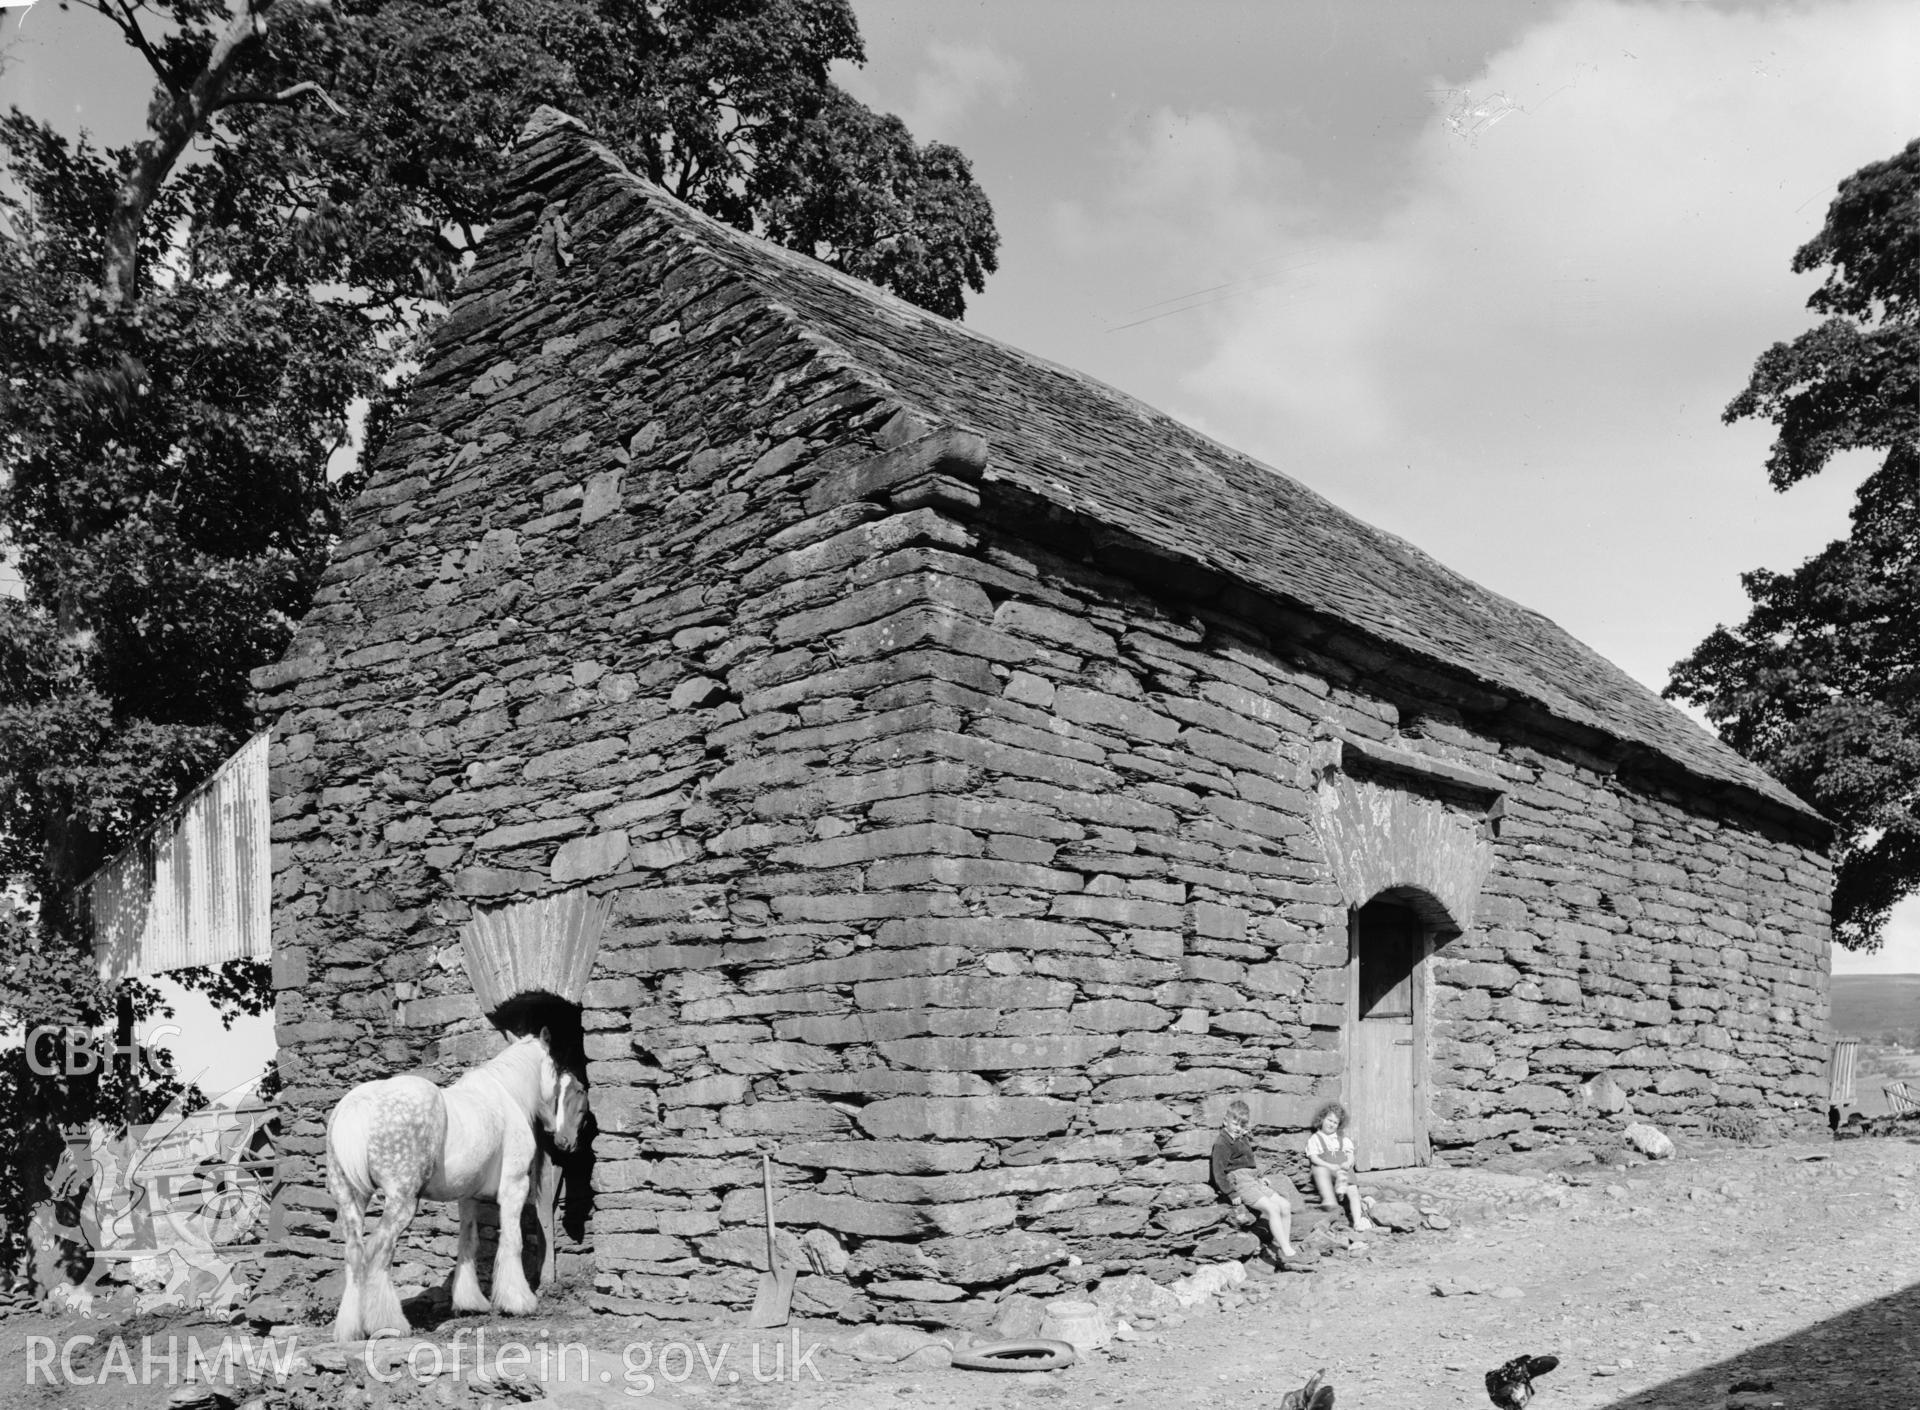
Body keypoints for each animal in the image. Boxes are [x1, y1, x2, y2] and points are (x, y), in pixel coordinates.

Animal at [324, 1029, 583, 1344]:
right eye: (563, 1081)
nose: (564, 1139)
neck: (507, 1096)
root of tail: (360, 1106)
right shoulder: (514, 1187)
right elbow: (513, 1241)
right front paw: (519, 1302)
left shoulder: (467, 1197)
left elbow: (468, 1243)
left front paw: (471, 1303)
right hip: (402, 1201)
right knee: (377, 1250)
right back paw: (390, 1325)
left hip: (350, 1198)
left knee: (354, 1252)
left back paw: (351, 1329)